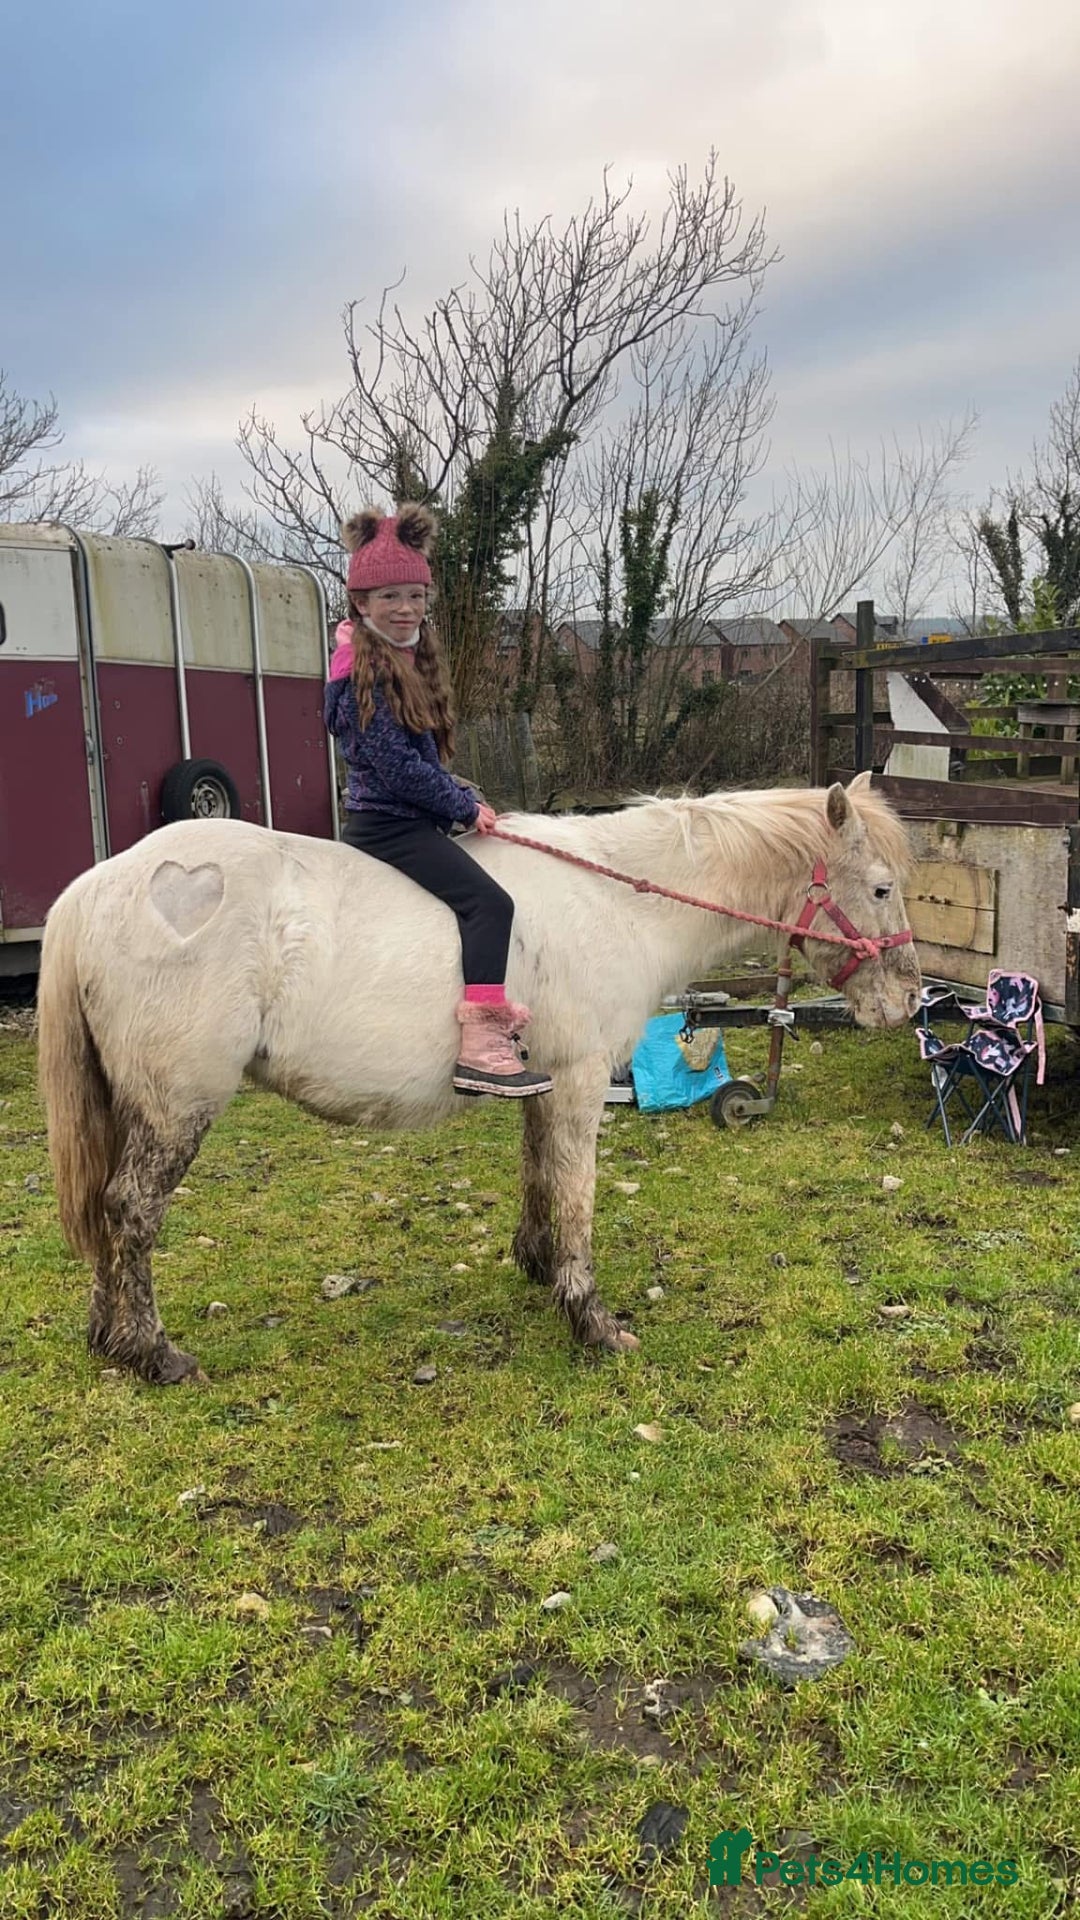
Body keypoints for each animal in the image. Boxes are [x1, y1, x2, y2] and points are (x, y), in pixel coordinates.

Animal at [37, 773, 920, 1384]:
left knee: (107, 1212)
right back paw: (153, 1353)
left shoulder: (543, 1081)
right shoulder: (580, 1079)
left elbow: (538, 1174)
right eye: (881, 888)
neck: (619, 903)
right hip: (175, 1102)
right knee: (131, 1210)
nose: (909, 1001)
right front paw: (590, 1318)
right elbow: (575, 1191)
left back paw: (108, 1337)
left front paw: (536, 1264)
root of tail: (94, 888)